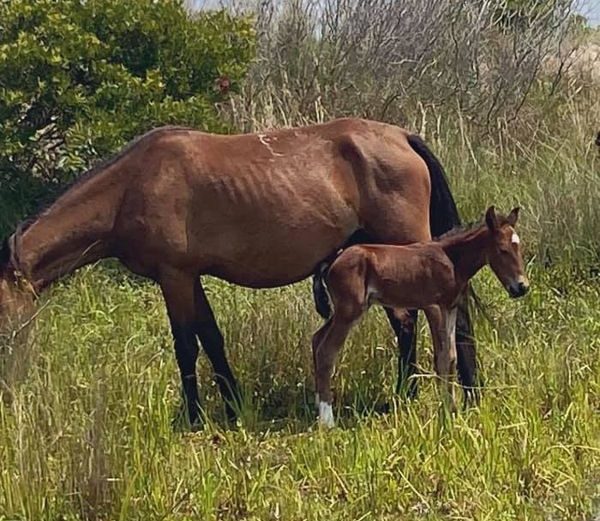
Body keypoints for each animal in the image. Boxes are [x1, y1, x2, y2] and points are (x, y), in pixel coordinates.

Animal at [0, 118, 478, 426]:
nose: (7, 384)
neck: (132, 184)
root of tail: (401, 137)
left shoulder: (174, 277)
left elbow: (186, 347)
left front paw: (193, 418)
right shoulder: (190, 278)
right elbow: (212, 340)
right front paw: (233, 407)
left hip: (411, 251)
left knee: (437, 320)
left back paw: (448, 394)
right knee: (409, 322)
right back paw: (420, 393)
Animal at [312, 206, 528, 426]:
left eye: (518, 248)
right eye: (502, 250)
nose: (522, 287)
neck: (452, 259)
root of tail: (331, 262)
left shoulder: (450, 308)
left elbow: (451, 357)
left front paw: (452, 409)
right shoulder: (434, 307)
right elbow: (442, 358)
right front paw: (446, 412)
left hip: (344, 311)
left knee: (317, 339)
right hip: (349, 311)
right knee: (326, 351)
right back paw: (327, 421)